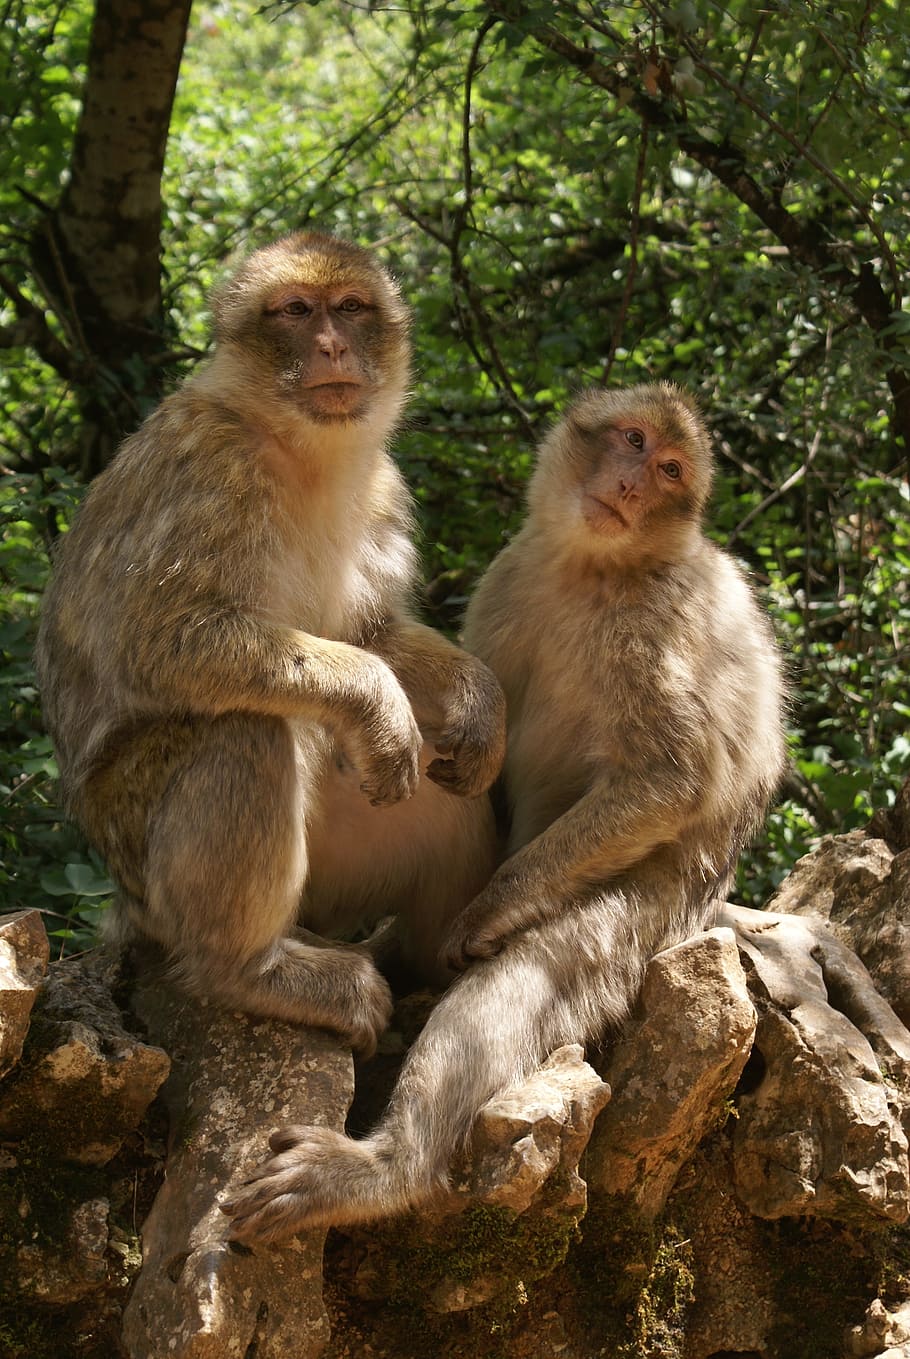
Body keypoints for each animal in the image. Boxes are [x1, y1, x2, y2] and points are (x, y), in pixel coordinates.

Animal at [35, 231, 506, 1057]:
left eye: (349, 307)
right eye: (294, 311)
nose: (331, 345)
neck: (303, 449)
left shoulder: (382, 488)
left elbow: (371, 631)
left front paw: (479, 699)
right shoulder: (208, 470)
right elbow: (165, 640)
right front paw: (376, 698)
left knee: (445, 795)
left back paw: (437, 960)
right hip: (138, 851)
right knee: (243, 729)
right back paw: (250, 970)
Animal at [222, 380, 786, 1243]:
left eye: (670, 469)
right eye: (632, 440)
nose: (633, 486)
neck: (591, 567)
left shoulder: (662, 618)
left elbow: (673, 778)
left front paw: (494, 905)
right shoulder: (509, 574)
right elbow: (481, 749)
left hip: (661, 904)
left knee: (532, 971)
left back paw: (386, 1169)